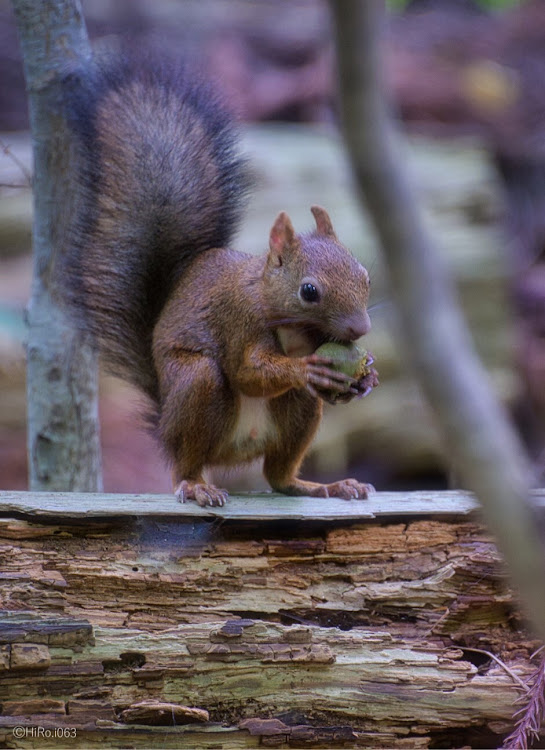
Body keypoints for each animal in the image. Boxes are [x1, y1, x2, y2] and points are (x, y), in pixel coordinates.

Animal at [57, 53, 376, 508]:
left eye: (364, 275)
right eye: (309, 291)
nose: (360, 328)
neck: (282, 315)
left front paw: (366, 378)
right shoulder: (239, 320)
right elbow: (248, 372)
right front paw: (306, 367)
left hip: (297, 413)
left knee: (279, 476)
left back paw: (322, 486)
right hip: (194, 386)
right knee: (187, 459)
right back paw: (195, 485)